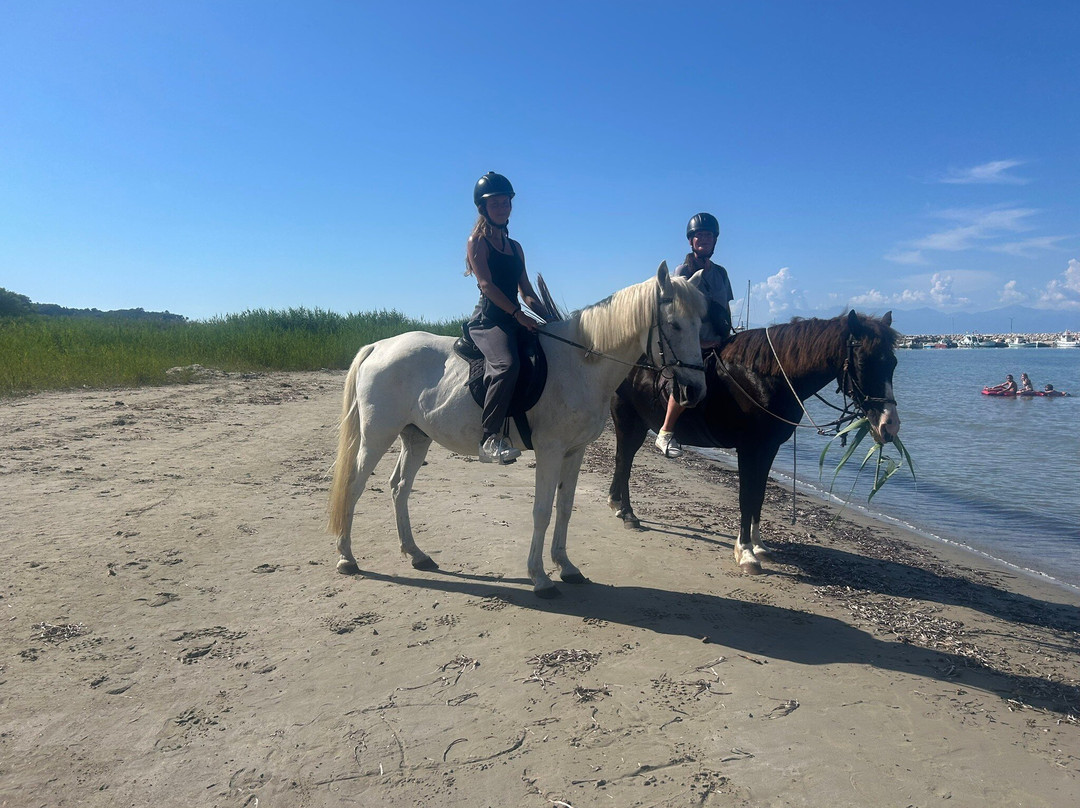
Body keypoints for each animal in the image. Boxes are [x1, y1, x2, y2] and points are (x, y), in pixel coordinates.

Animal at [328, 263, 708, 598]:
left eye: (700, 323)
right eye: (674, 325)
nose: (695, 391)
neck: (579, 364)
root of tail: (379, 346)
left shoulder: (575, 451)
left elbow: (565, 507)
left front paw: (566, 567)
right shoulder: (550, 450)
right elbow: (541, 511)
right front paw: (540, 578)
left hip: (415, 437)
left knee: (399, 488)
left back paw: (415, 553)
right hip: (377, 436)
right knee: (354, 486)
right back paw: (346, 557)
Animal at [607, 310, 901, 574]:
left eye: (894, 363)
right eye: (863, 363)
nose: (890, 425)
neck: (765, 377)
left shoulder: (768, 449)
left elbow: (758, 495)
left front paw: (758, 545)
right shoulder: (749, 449)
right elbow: (746, 497)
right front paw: (746, 552)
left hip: (638, 424)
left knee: (623, 460)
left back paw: (618, 505)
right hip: (626, 418)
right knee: (624, 462)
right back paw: (629, 513)